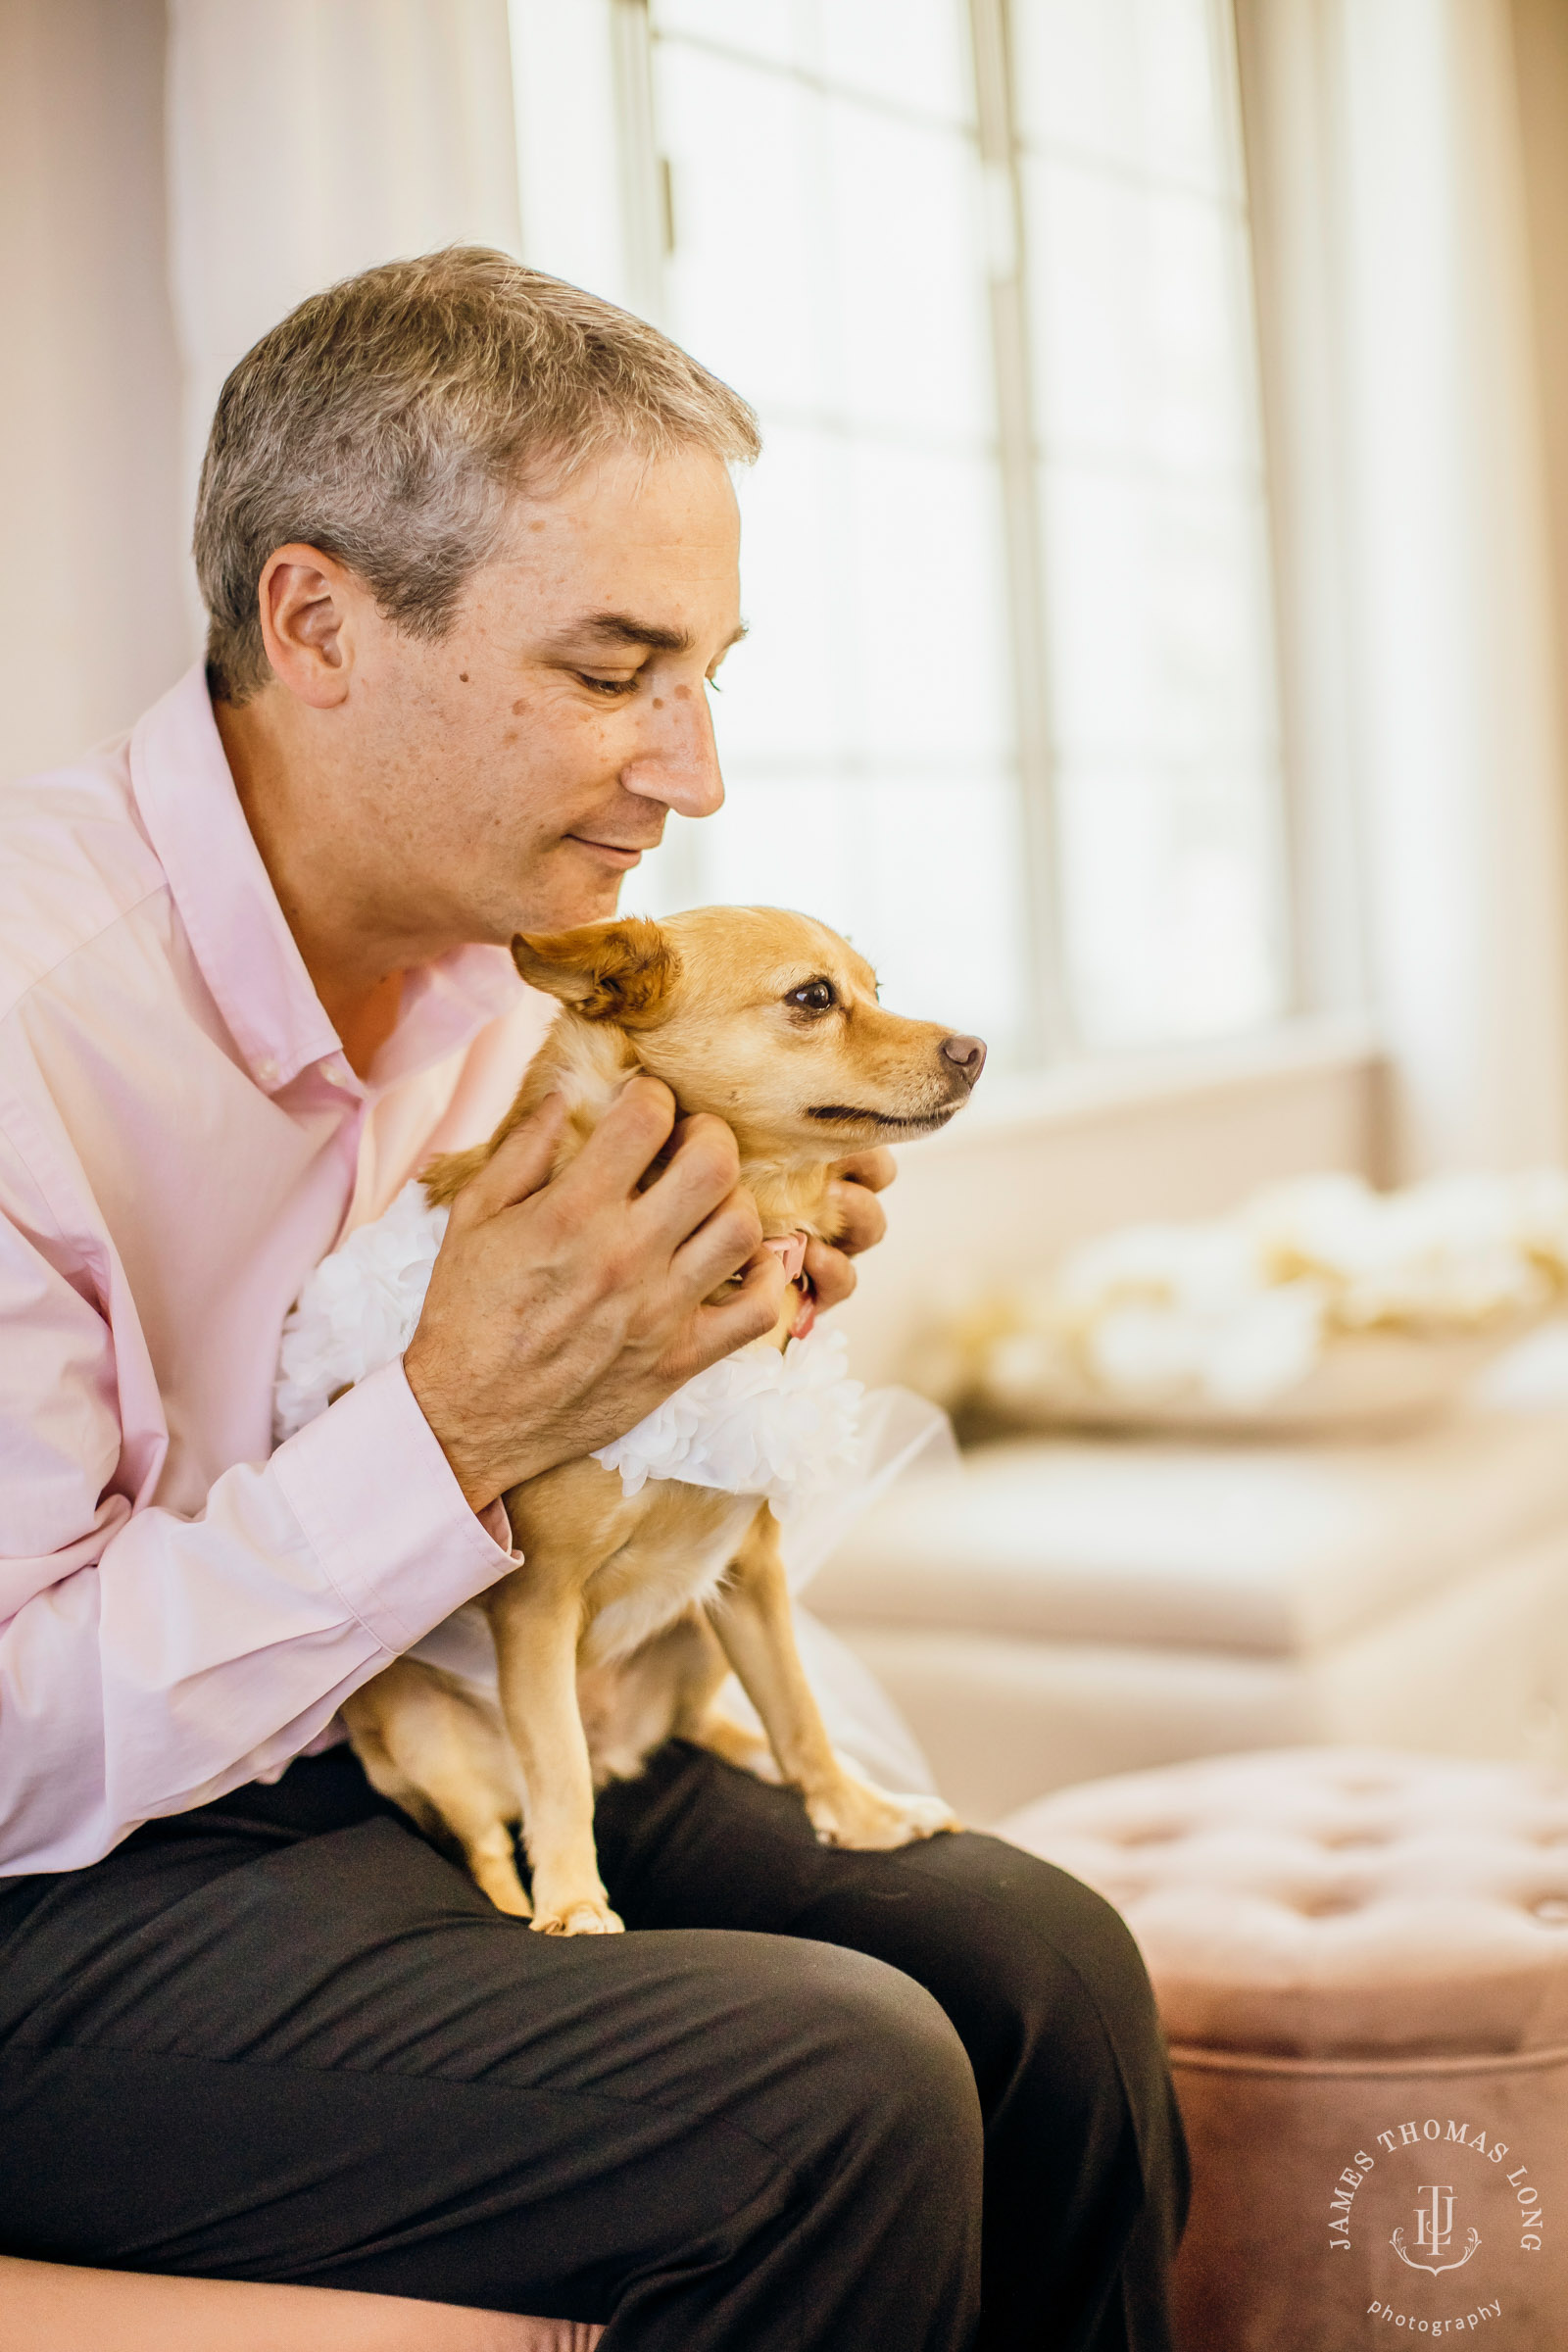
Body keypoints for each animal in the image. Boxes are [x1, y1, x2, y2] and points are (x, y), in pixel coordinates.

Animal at [343, 898, 982, 1929]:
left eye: (876, 989)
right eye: (814, 998)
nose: (976, 1048)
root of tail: (621, 1749)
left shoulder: (754, 1569)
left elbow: (799, 1708)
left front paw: (857, 1815)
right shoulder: (536, 1605)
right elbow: (555, 1767)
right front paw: (573, 1899)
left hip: (697, 1632)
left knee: (718, 1723)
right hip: (426, 1733)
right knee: (498, 1829)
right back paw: (521, 1899)